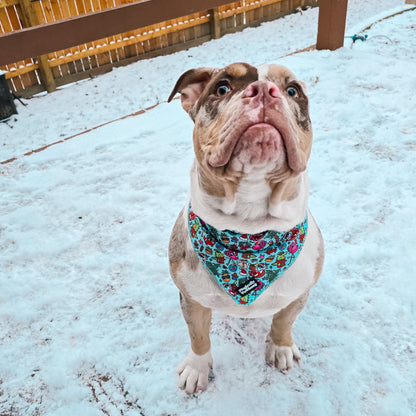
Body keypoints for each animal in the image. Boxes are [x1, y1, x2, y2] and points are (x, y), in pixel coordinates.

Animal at [167, 61, 324, 394]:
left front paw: (280, 347)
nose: (264, 90)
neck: (250, 233)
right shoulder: (191, 300)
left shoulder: (299, 293)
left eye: (293, 90)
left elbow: (284, 321)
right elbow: (198, 335)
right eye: (222, 87)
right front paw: (197, 367)